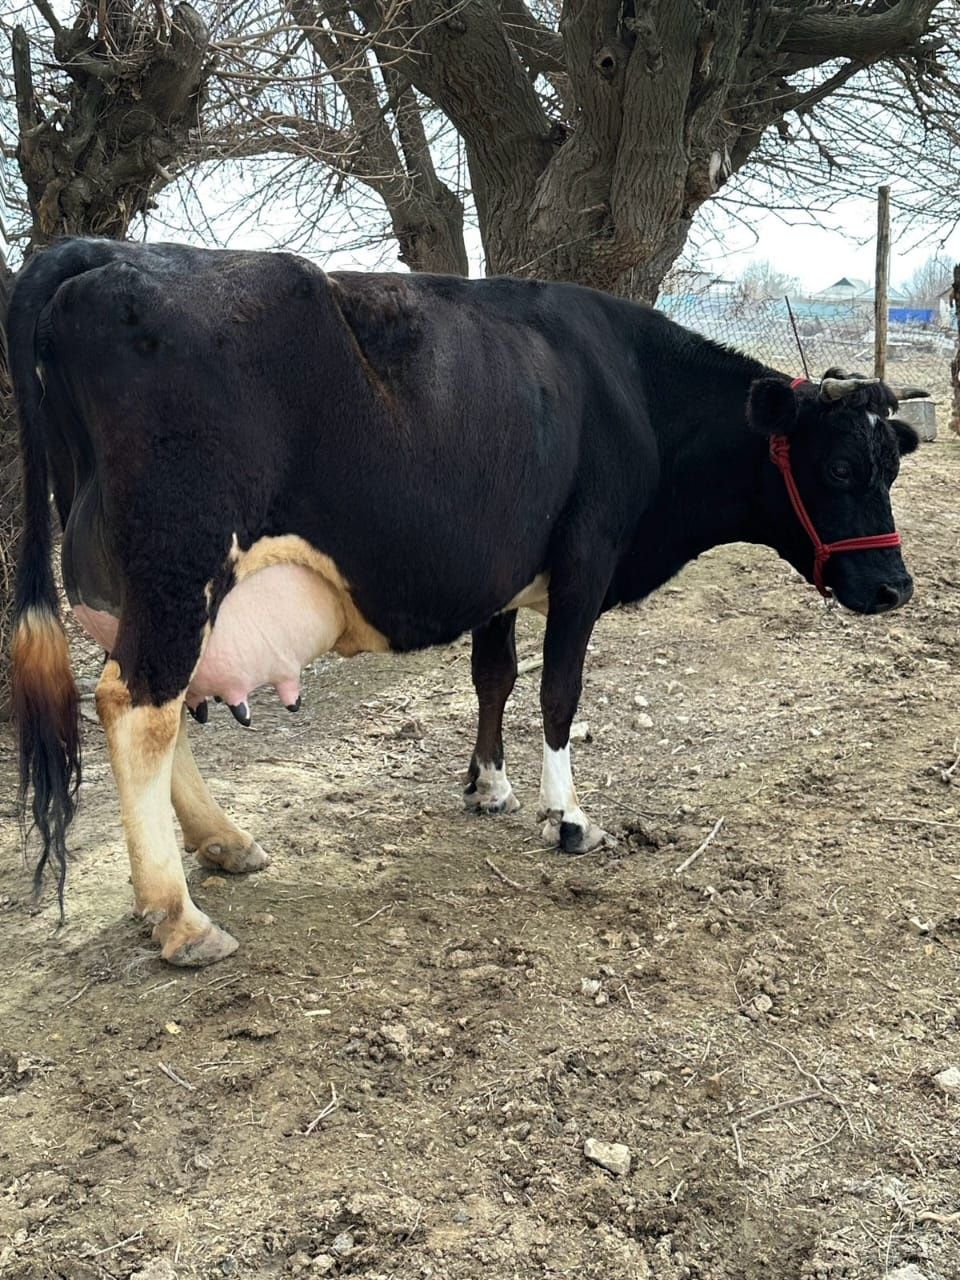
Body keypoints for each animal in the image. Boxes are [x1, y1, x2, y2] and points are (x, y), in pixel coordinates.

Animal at [5, 240, 926, 962]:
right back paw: (179, 917)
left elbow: (496, 675)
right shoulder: (585, 557)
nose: (895, 587)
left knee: (158, 705)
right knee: (137, 707)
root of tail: (99, 252)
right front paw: (568, 815)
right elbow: (559, 690)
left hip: (146, 590)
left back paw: (227, 844)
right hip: (181, 567)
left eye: (893, 464)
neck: (631, 390)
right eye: (841, 466)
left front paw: (489, 785)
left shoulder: (503, 569)